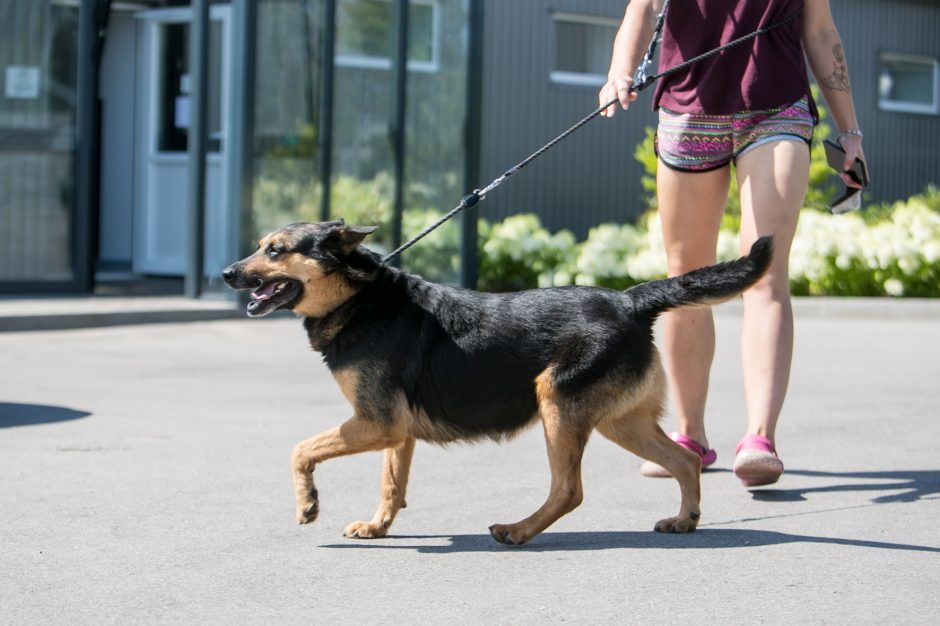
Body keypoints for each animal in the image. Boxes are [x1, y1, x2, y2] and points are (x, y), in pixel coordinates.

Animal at [222, 222, 772, 544]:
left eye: (277, 250)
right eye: (260, 246)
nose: (227, 273)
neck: (360, 297)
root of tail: (630, 300)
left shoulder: (375, 423)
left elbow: (300, 450)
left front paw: (307, 503)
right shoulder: (394, 432)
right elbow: (391, 483)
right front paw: (379, 526)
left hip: (557, 404)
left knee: (569, 489)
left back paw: (518, 530)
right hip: (621, 422)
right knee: (683, 461)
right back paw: (685, 519)